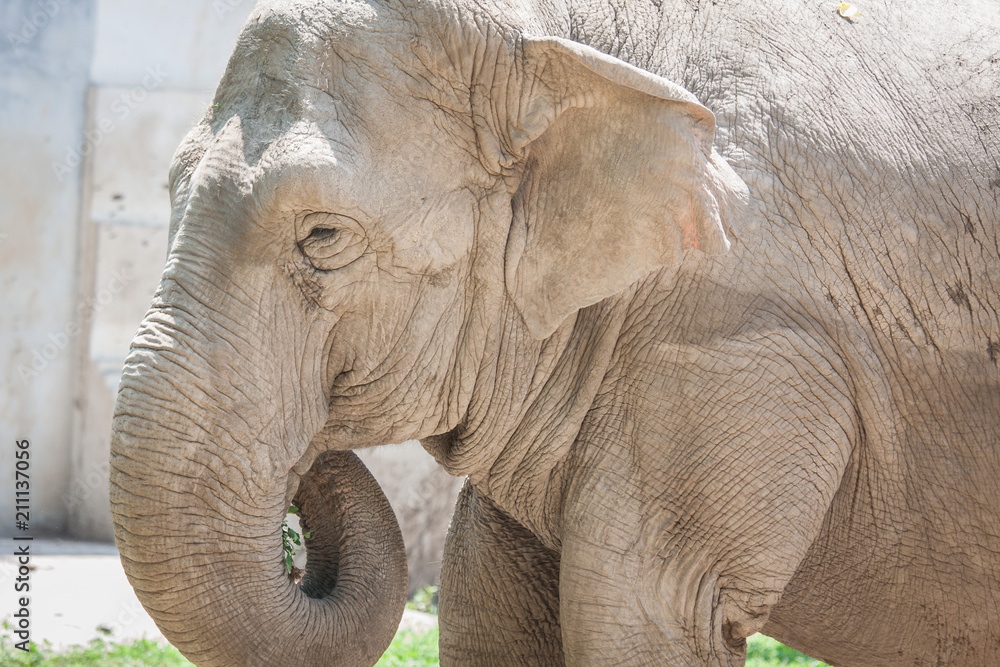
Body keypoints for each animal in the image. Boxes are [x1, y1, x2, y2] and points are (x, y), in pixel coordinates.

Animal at [108, 0, 1000, 664]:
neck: (562, 42)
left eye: (323, 237)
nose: (308, 454)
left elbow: (649, 609)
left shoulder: (740, 340)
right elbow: (484, 595)